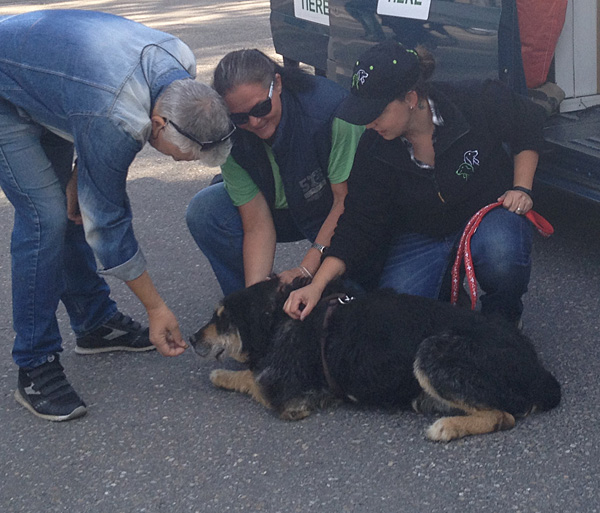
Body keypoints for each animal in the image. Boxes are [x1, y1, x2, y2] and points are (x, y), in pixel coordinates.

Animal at [190, 277, 560, 442]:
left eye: (221, 318)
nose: (192, 339)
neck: (279, 314)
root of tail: (539, 372)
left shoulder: (285, 394)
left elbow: (249, 377)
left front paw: (221, 375)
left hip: (432, 351)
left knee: (503, 415)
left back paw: (447, 427)